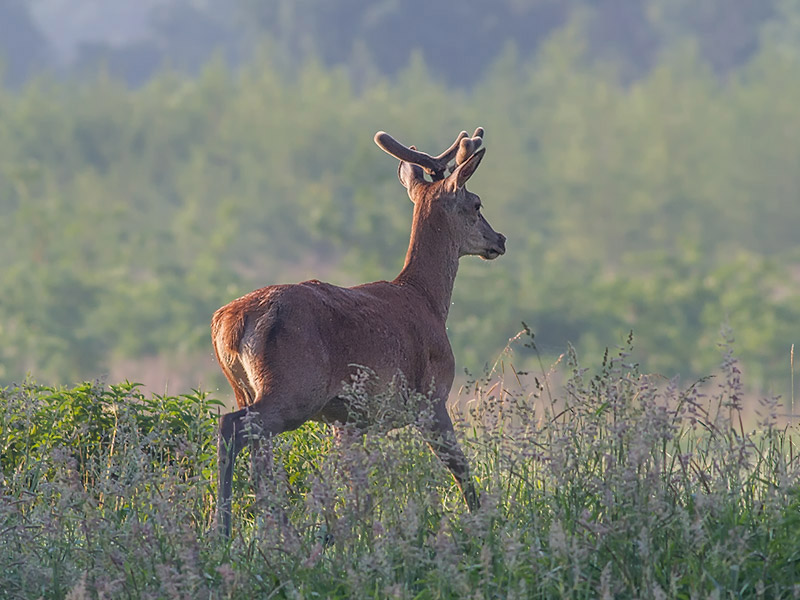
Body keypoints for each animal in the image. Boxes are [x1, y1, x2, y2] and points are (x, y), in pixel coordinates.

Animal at [212, 126, 506, 536]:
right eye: (477, 204)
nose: (500, 240)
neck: (428, 299)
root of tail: (229, 323)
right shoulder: (431, 397)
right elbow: (459, 468)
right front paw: (483, 521)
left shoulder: (349, 419)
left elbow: (356, 486)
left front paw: (350, 531)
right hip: (295, 386)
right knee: (233, 428)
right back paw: (229, 528)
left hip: (245, 387)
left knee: (255, 447)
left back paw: (270, 529)